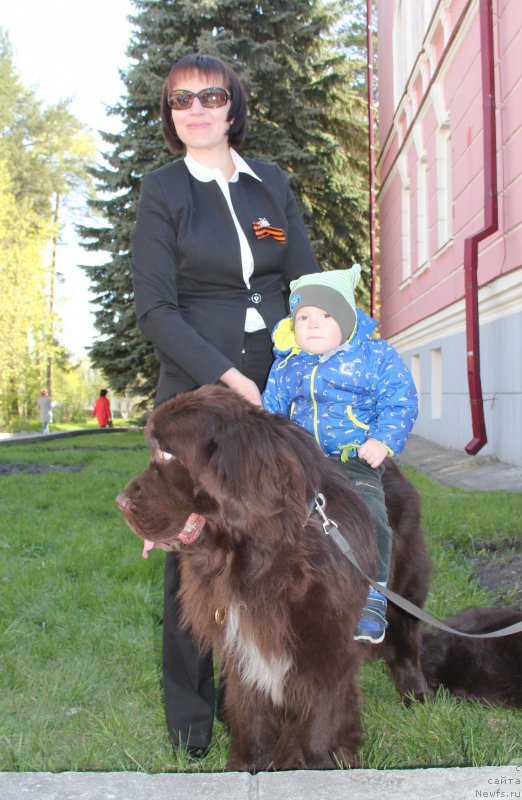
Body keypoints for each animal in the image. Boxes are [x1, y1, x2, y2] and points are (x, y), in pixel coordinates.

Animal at [116, 384, 428, 772]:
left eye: (168, 455)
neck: (261, 557)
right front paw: (248, 765)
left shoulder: (326, 645)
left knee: (404, 640)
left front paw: (319, 765)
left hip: (405, 589)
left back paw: (416, 698)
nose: (120, 502)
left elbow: (320, 716)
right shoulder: (243, 645)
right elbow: (252, 713)